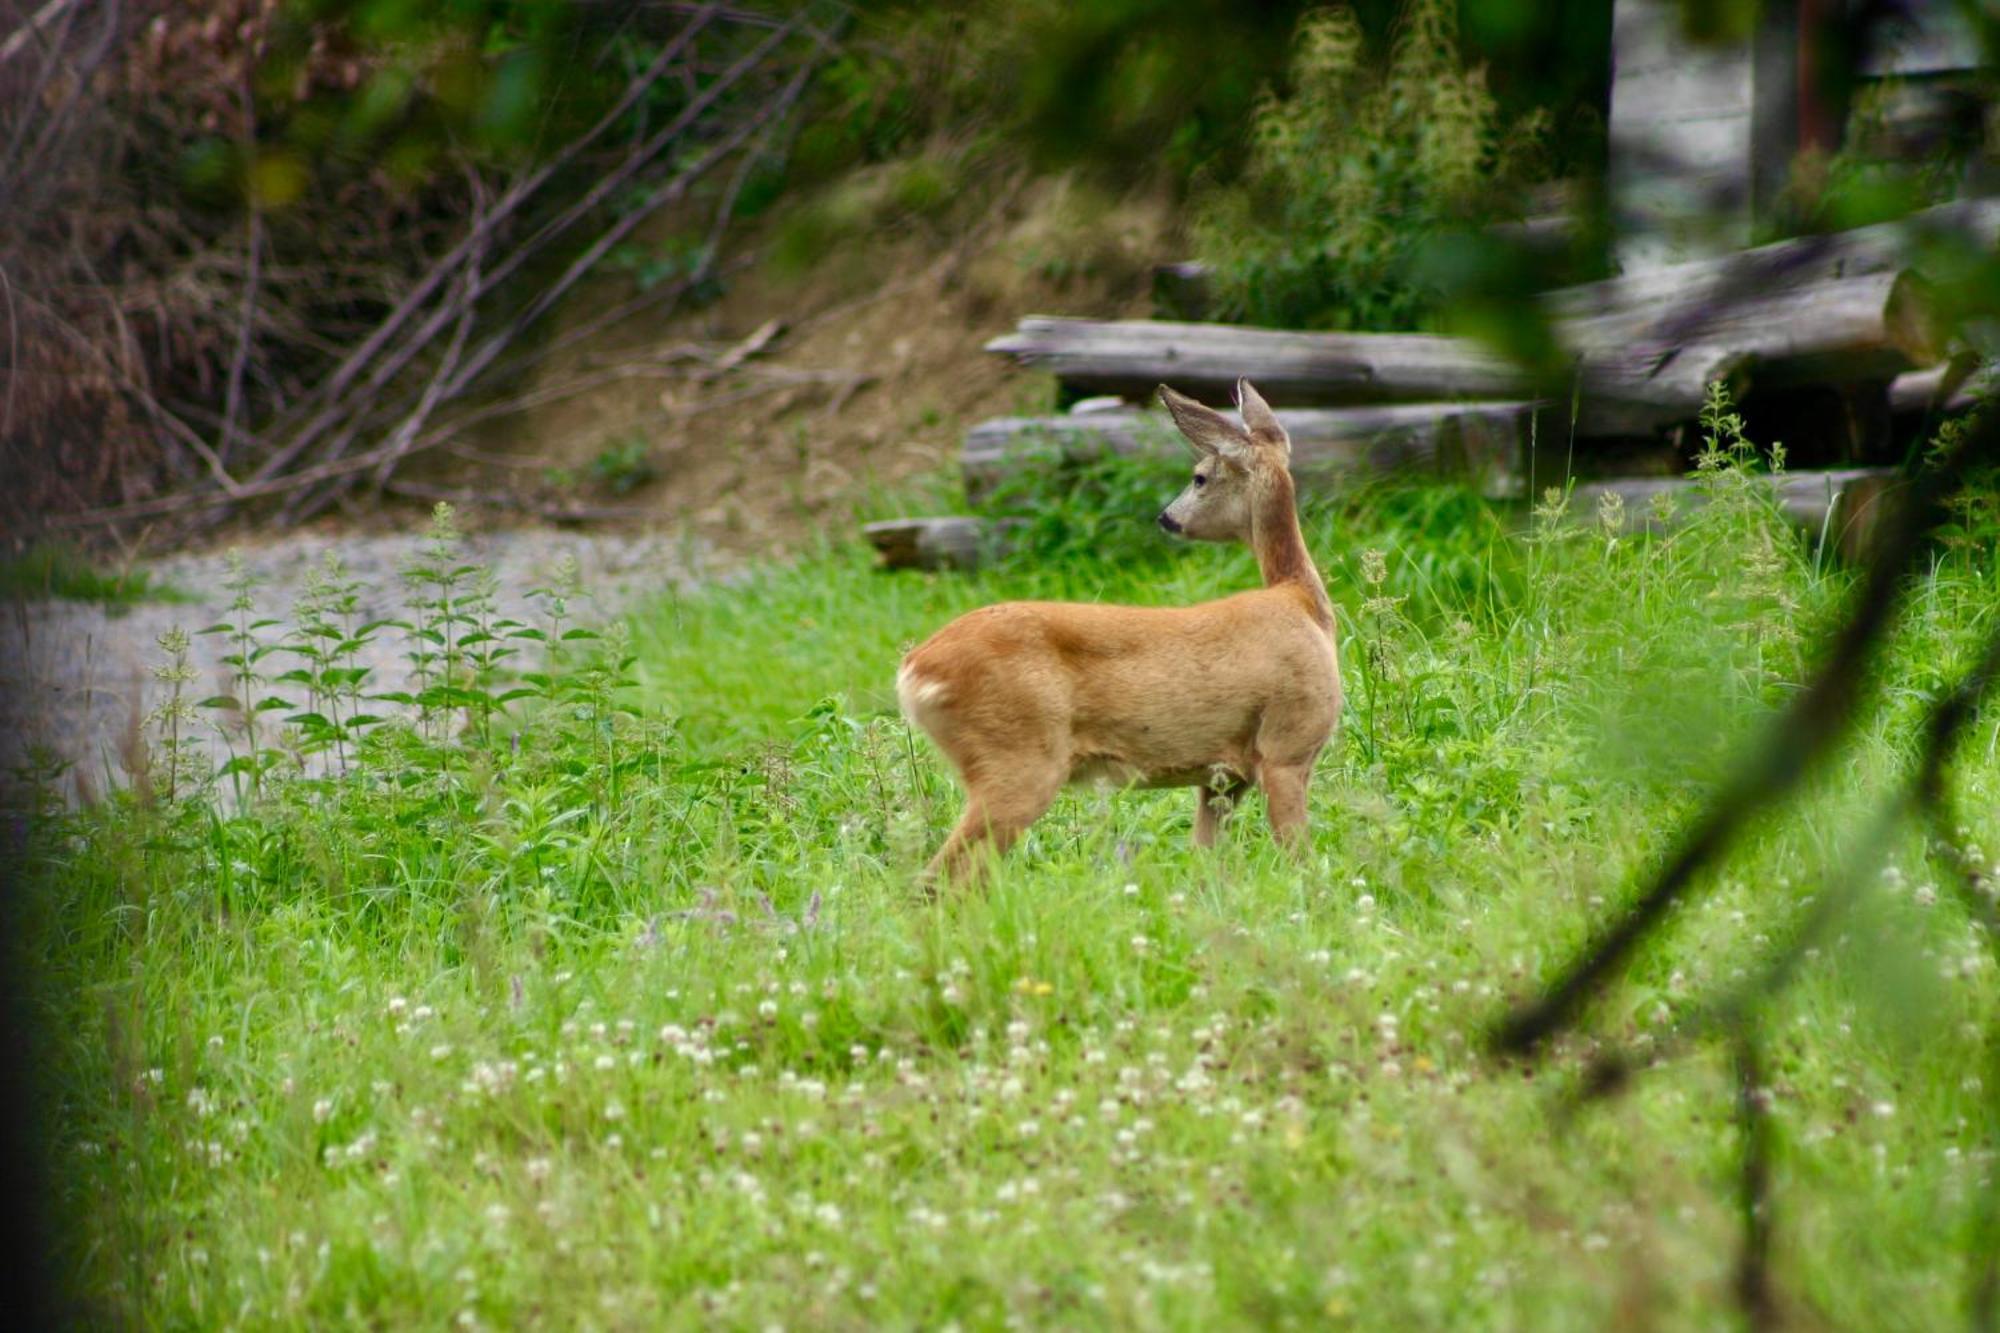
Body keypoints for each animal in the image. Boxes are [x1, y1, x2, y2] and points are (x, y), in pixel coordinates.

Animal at [896, 376, 1344, 880]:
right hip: (1017, 757)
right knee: (942, 877)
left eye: (1198, 477)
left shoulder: (1223, 776)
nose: (1167, 518)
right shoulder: (1288, 745)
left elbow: (1206, 861)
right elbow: (1300, 861)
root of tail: (914, 669)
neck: (1302, 604)